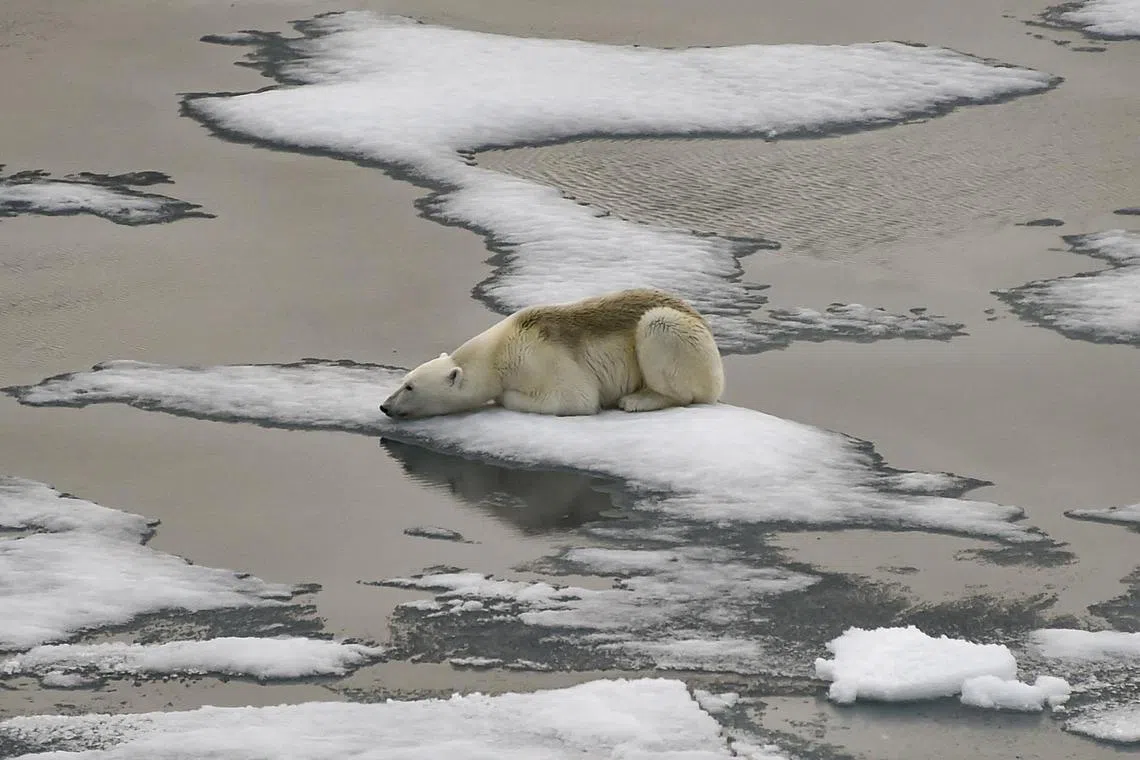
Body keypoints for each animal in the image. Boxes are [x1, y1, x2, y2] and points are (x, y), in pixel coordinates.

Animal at [379, 288, 724, 419]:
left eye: (409, 387)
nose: (384, 406)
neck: (500, 350)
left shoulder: (540, 356)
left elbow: (575, 398)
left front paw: (505, 397)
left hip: (682, 337)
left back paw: (638, 399)